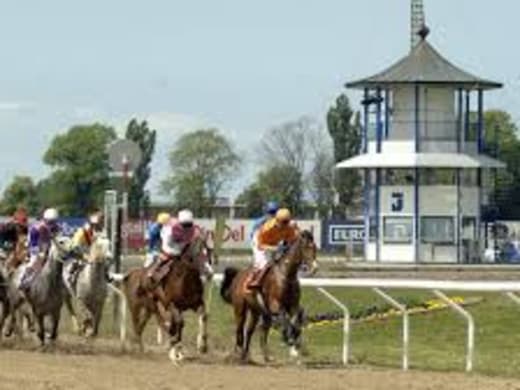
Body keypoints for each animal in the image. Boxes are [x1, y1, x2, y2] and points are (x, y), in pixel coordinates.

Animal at [120, 232, 213, 362]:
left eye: (208, 252)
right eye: (197, 254)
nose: (210, 273)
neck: (184, 280)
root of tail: (130, 274)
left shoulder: (197, 303)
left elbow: (203, 316)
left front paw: (202, 346)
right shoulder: (172, 305)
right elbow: (180, 323)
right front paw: (176, 347)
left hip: (150, 309)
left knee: (143, 326)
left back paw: (143, 349)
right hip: (135, 307)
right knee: (137, 326)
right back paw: (139, 350)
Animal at [218, 230, 316, 364]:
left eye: (315, 248)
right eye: (306, 247)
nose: (315, 268)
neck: (286, 275)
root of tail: (238, 275)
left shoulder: (293, 306)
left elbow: (295, 322)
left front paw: (296, 343)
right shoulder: (275, 306)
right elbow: (285, 320)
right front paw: (288, 338)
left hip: (257, 311)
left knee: (251, 331)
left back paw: (252, 355)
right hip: (240, 309)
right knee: (239, 329)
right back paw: (237, 353)